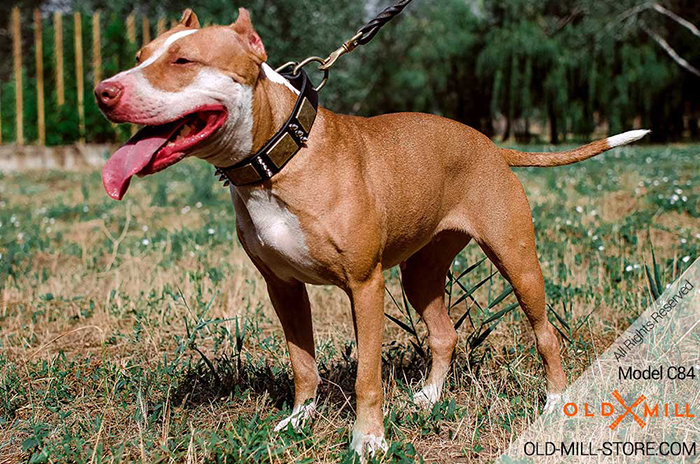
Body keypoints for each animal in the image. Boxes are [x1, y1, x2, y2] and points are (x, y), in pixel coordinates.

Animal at [94, 9, 652, 458]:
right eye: (140, 56)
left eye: (183, 60)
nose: (104, 91)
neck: (279, 160)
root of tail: (491, 145)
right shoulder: (283, 288)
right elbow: (303, 364)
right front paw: (298, 421)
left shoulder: (364, 285)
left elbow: (366, 377)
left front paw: (369, 440)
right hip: (420, 274)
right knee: (445, 333)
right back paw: (428, 398)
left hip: (516, 259)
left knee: (544, 332)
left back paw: (556, 401)